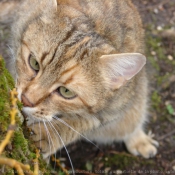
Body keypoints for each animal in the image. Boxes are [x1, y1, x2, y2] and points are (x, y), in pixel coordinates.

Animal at [1, 0, 159, 164]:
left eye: (66, 91)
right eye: (34, 63)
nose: (25, 100)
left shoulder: (115, 108)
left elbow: (83, 123)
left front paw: (48, 135)